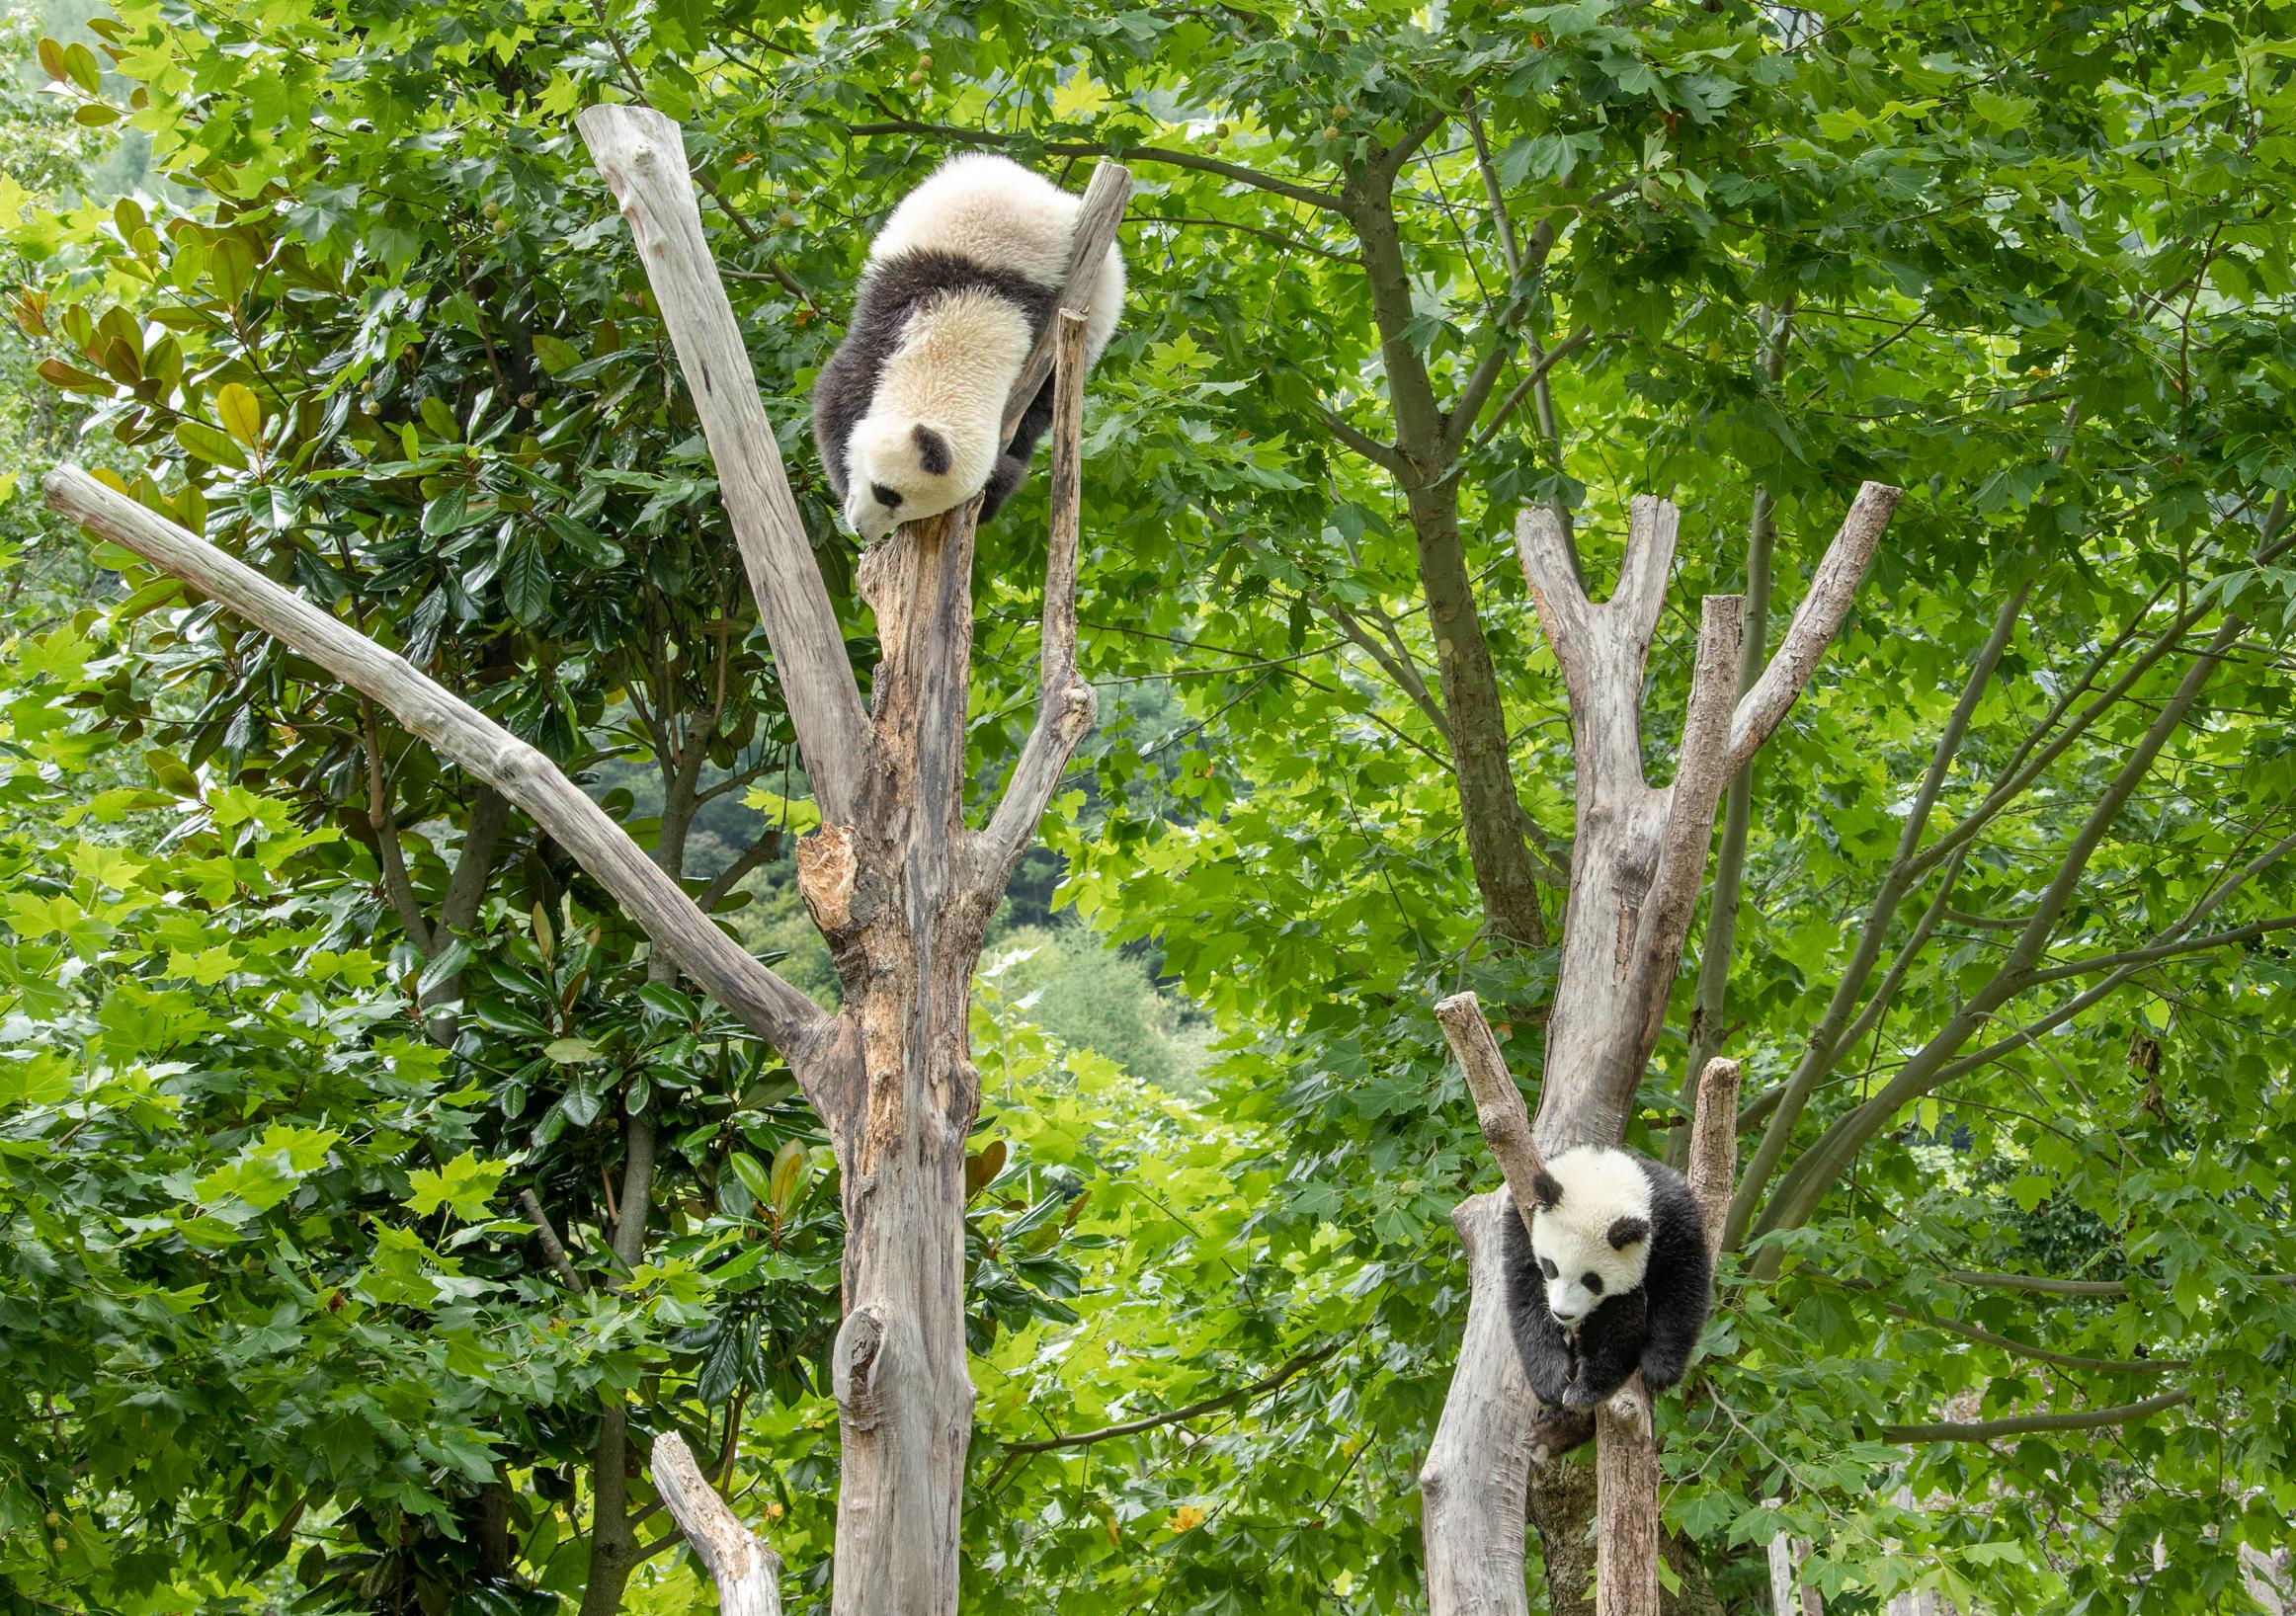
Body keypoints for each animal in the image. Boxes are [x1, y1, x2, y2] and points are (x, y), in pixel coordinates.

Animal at [812, 153, 1124, 541]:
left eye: (898, 502)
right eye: (885, 492)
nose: (862, 531)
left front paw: (996, 485)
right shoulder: (901, 312)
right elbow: (837, 398)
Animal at [1497, 1143, 1717, 1459]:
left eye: (1592, 1280)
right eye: (1551, 1267)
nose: (1563, 1314)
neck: (1604, 1172)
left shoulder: (1673, 1220)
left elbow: (1679, 1287)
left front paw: (1651, 1371)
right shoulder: (1520, 1219)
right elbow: (1525, 1295)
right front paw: (1552, 1380)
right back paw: (1550, 1432)